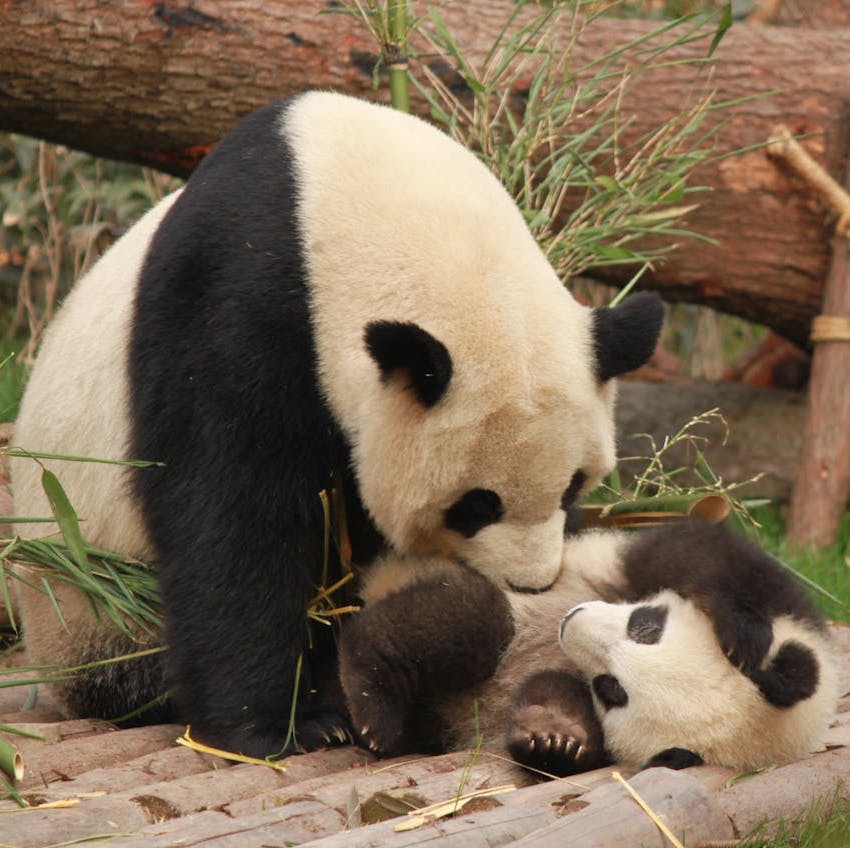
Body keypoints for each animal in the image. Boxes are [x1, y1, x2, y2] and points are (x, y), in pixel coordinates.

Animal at [8, 92, 664, 758]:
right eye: (476, 504)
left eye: (573, 486)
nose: (530, 584)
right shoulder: (233, 301)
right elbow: (232, 516)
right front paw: (274, 726)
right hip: (91, 604)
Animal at [339, 519, 837, 774]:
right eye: (646, 626)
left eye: (611, 688)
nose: (571, 620)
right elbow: (698, 551)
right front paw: (741, 631)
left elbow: (559, 699)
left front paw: (554, 737)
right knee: (469, 622)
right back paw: (371, 703)